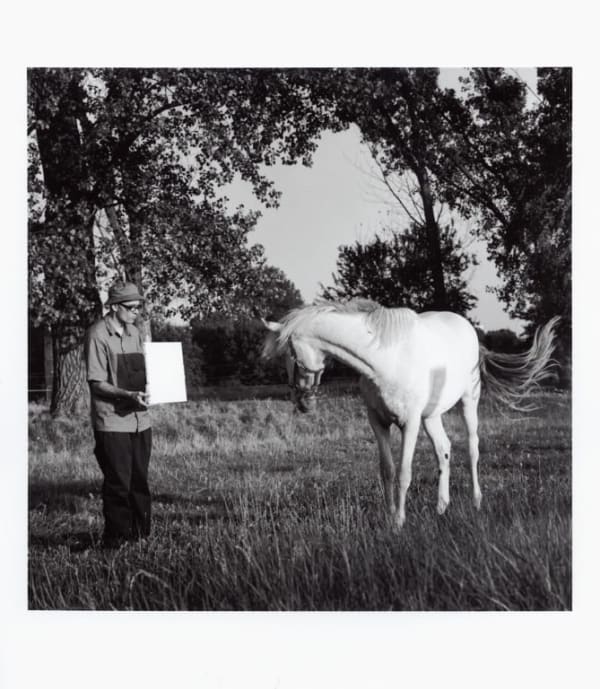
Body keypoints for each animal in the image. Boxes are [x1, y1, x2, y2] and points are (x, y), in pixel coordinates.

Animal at [261, 298, 558, 530]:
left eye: (288, 352)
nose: (301, 402)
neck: (384, 362)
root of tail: (469, 329)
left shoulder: (410, 423)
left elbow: (405, 472)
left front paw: (399, 522)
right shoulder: (377, 421)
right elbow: (387, 470)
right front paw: (390, 516)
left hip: (468, 402)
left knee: (472, 449)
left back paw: (476, 501)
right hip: (431, 416)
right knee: (444, 449)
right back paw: (441, 506)